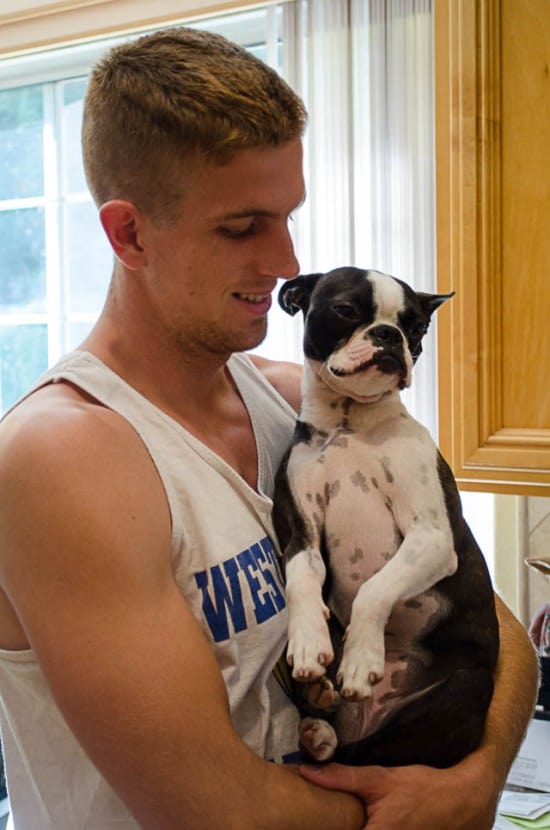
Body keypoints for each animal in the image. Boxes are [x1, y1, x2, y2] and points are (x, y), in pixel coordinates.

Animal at [274, 270, 502, 772]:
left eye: (414, 327)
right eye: (344, 310)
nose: (389, 335)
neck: (349, 425)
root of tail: (371, 715)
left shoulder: (431, 536)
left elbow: (375, 590)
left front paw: (361, 659)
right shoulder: (302, 537)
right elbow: (300, 582)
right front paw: (306, 640)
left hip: (460, 693)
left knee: (376, 753)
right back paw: (317, 708)